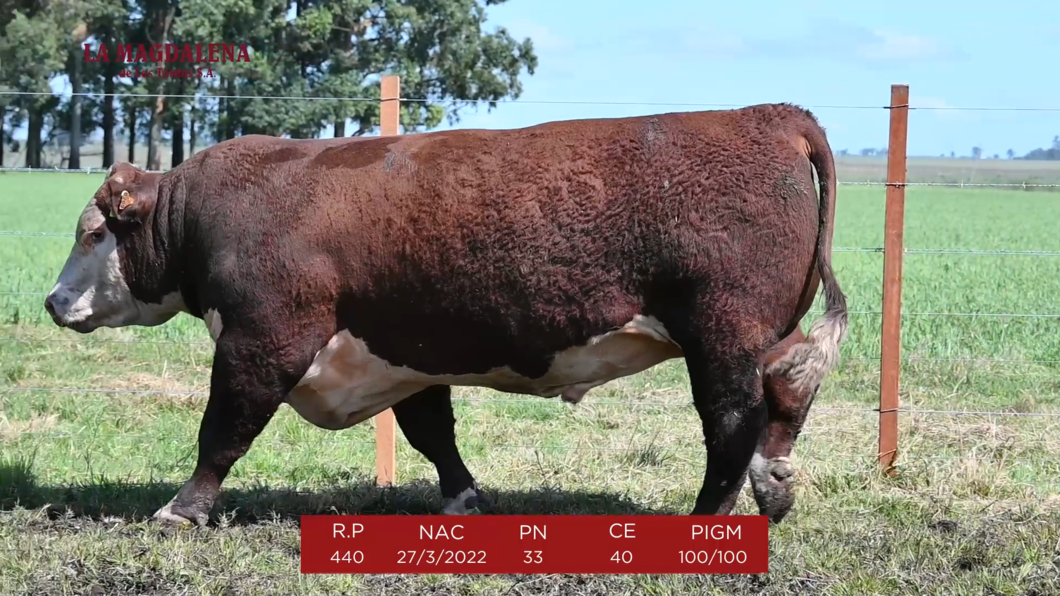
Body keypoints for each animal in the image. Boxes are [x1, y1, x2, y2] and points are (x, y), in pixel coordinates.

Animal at [45, 101, 847, 523]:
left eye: (93, 234)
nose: (54, 301)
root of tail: (766, 115)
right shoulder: (403, 349)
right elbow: (431, 433)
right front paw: (464, 499)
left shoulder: (262, 341)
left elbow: (223, 430)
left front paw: (182, 509)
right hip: (761, 335)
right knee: (787, 388)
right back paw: (773, 486)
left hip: (721, 335)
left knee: (732, 421)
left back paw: (706, 519)